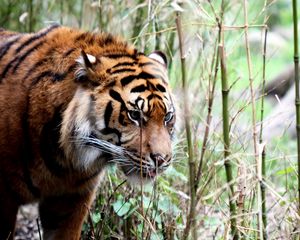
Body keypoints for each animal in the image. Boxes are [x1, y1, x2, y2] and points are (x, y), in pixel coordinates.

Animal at [0, 25, 176, 239]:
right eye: (134, 115)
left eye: (167, 117)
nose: (161, 159)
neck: (65, 159)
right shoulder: (4, 196)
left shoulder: (72, 199)